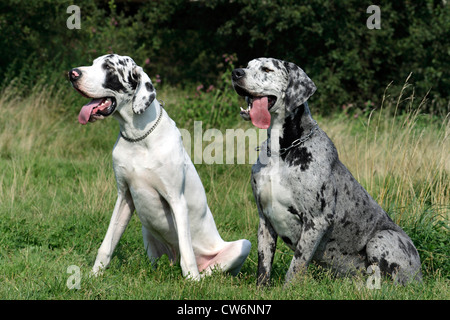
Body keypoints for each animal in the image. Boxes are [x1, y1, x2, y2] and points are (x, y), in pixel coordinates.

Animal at [69, 53, 251, 278]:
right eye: (93, 63)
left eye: (109, 67)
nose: (72, 73)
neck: (138, 138)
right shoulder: (123, 196)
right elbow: (106, 244)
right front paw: (95, 274)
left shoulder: (177, 200)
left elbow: (187, 254)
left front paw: (193, 281)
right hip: (146, 230)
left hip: (243, 245)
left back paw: (201, 277)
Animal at [232, 57, 422, 284]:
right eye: (248, 65)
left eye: (267, 69)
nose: (236, 72)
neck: (283, 151)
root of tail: (421, 273)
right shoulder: (264, 219)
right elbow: (264, 264)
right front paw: (261, 288)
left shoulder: (316, 221)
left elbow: (295, 266)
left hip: (382, 238)